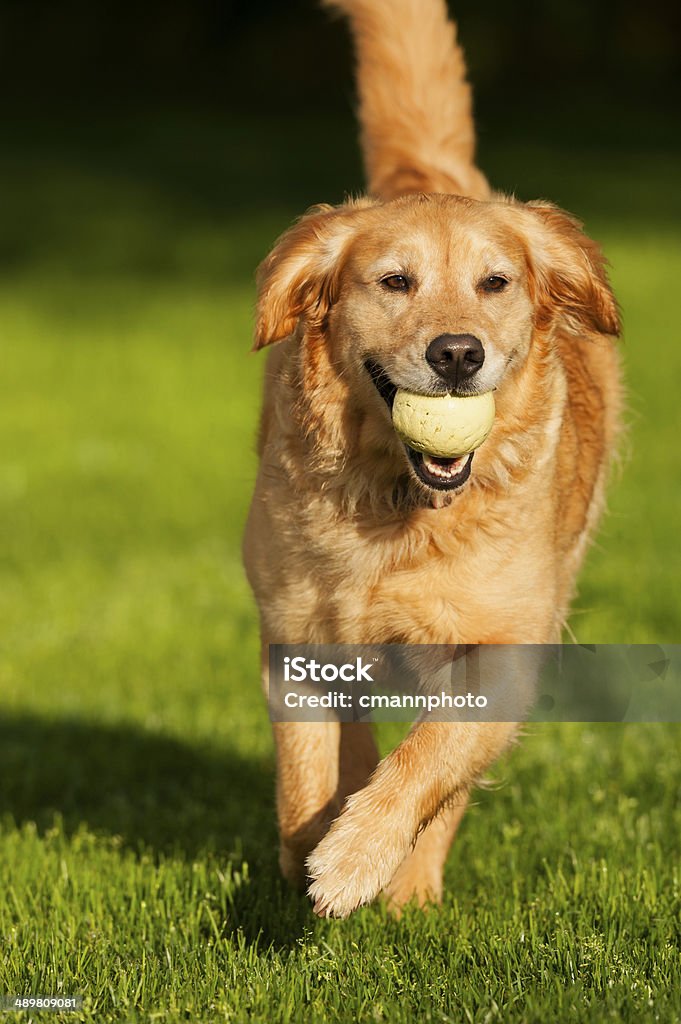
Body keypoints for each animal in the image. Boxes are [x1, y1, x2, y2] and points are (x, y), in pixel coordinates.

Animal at [242, 0, 622, 917]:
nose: (456, 354)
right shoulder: (296, 640)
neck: (398, 505)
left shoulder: (504, 650)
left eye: (494, 283)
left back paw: (407, 886)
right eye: (393, 282)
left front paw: (356, 858)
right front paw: (310, 851)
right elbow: (307, 775)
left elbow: (429, 758)